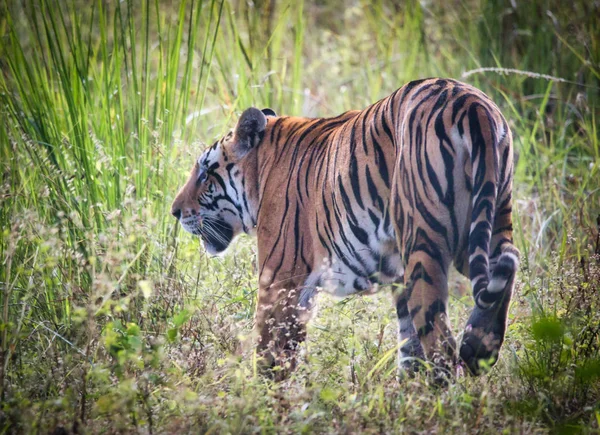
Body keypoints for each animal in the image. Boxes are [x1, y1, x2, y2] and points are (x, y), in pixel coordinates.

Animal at [171, 79, 516, 382]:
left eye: (204, 172)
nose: (175, 211)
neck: (261, 170)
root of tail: (470, 104)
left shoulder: (280, 277)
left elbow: (270, 353)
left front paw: (262, 401)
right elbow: (409, 347)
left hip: (424, 244)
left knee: (441, 344)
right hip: (490, 221)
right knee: (505, 268)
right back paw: (477, 348)